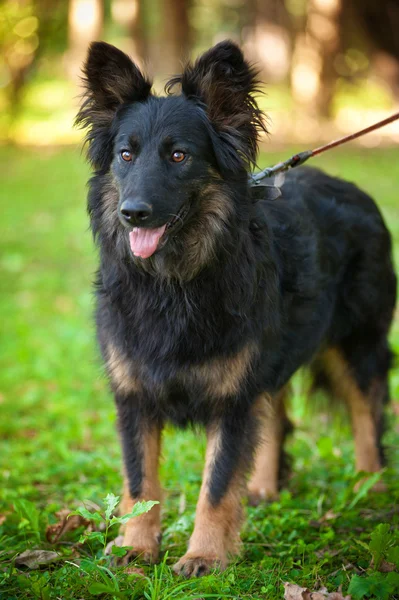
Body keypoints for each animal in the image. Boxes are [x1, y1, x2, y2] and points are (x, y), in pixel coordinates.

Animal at [76, 39, 398, 576]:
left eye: (179, 155)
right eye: (125, 154)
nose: (132, 213)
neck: (175, 283)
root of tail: (356, 190)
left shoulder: (233, 398)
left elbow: (217, 485)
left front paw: (205, 555)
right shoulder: (135, 396)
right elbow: (141, 481)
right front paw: (136, 548)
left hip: (355, 346)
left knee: (366, 413)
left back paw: (370, 488)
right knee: (279, 417)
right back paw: (266, 487)